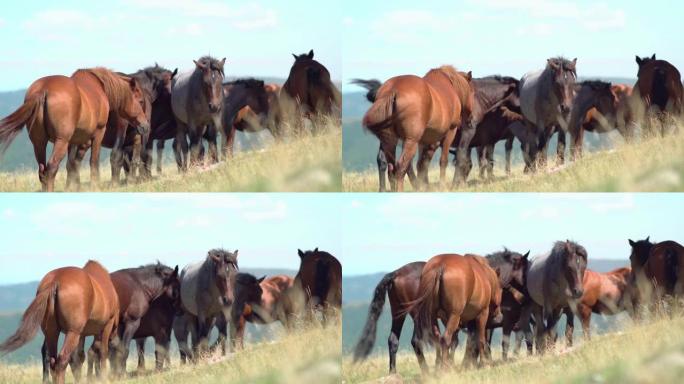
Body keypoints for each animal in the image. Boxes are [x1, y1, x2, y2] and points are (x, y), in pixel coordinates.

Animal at [0, 68, 149, 191]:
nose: (145, 126)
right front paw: (94, 187)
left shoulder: (74, 141)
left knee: (42, 171)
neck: (100, 88)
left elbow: (72, 165)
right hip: (61, 141)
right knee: (51, 168)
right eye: (140, 101)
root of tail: (43, 91)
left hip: (39, 143)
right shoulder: (98, 133)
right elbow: (93, 162)